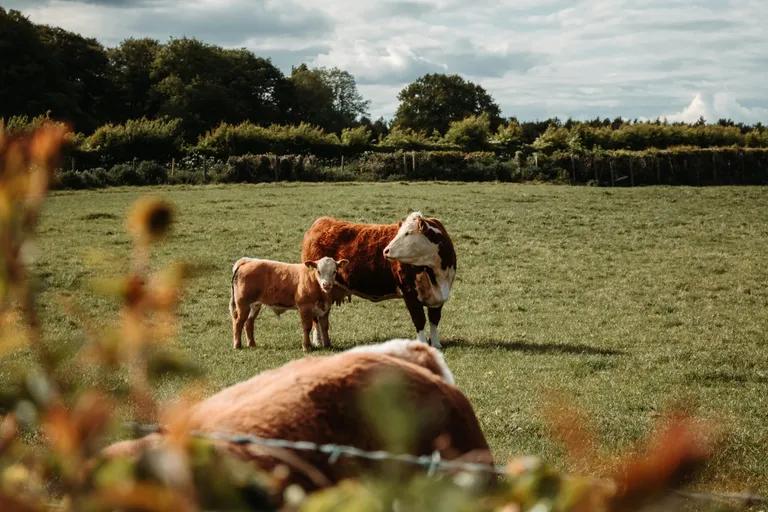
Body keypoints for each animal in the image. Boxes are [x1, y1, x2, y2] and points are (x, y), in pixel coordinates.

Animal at [300, 211, 456, 348]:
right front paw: (423, 344)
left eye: (408, 233)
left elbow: (434, 320)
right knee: (316, 318)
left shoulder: (439, 297)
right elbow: (419, 320)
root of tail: (321, 222)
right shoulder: (410, 293)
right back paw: (317, 342)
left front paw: (436, 344)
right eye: (399, 232)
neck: (435, 273)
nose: (386, 250)